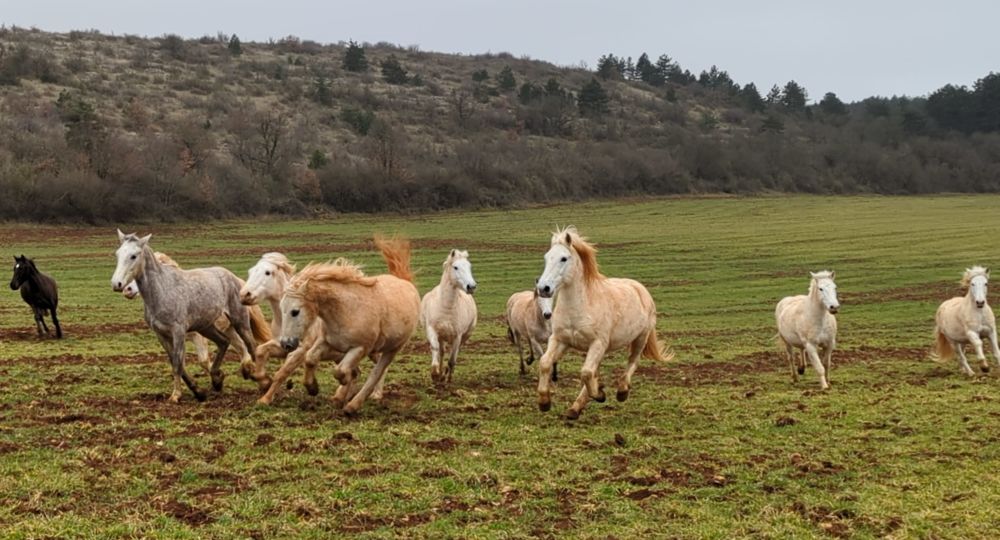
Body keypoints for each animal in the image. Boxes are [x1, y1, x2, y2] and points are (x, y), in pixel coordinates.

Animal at [111, 230, 268, 402]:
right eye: (118, 254)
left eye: (133, 256)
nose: (118, 285)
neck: (162, 290)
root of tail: (235, 279)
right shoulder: (161, 334)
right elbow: (176, 361)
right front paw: (198, 392)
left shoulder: (178, 331)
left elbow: (178, 363)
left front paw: (176, 395)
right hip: (207, 327)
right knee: (224, 343)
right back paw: (217, 380)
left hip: (239, 322)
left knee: (251, 346)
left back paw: (262, 381)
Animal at [272, 237, 419, 414]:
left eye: (295, 311)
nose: (286, 343)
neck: (347, 310)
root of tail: (405, 282)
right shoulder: (327, 342)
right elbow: (310, 358)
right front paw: (312, 388)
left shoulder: (359, 348)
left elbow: (340, 371)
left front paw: (345, 383)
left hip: (392, 349)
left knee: (376, 373)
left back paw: (352, 406)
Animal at [420, 249, 478, 385]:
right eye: (455, 267)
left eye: (469, 266)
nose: (471, 287)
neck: (446, 307)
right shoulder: (432, 330)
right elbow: (435, 348)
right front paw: (435, 373)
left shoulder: (457, 336)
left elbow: (452, 360)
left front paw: (446, 378)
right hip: (441, 336)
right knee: (441, 352)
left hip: (463, 337)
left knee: (453, 355)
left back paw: (447, 376)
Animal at [535, 227, 672, 419]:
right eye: (546, 257)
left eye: (564, 258)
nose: (544, 288)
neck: (580, 308)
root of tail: (640, 288)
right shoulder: (560, 340)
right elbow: (545, 363)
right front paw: (544, 402)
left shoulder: (597, 343)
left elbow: (586, 373)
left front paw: (600, 394)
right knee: (594, 370)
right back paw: (574, 409)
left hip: (640, 338)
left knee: (632, 361)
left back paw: (621, 392)